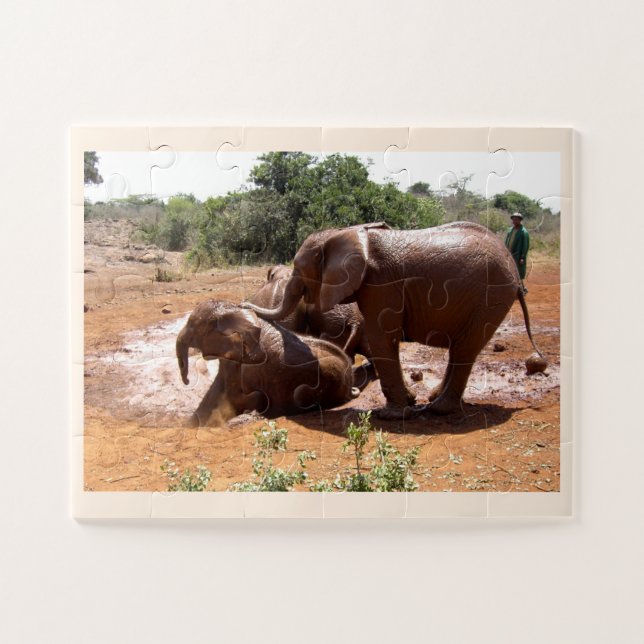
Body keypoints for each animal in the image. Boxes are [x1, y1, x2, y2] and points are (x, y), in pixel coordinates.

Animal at [244, 221, 544, 419]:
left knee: (465, 348)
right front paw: (408, 402)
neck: (347, 233)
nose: (244, 304)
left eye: (298, 268)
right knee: (461, 347)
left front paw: (390, 415)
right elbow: (378, 339)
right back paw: (433, 401)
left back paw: (438, 409)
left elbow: (381, 336)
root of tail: (514, 273)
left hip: (492, 296)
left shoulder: (381, 283)